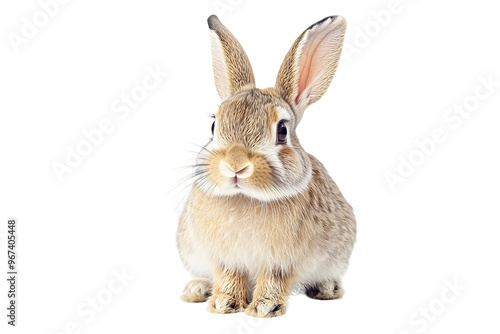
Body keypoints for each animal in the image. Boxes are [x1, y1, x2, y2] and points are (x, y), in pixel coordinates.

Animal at [176, 15, 356, 318]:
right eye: (213, 126)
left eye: (282, 131)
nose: (235, 166)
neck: (245, 197)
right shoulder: (226, 259)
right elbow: (229, 277)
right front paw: (224, 304)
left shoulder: (280, 262)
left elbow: (273, 280)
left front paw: (264, 307)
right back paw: (197, 289)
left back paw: (327, 288)